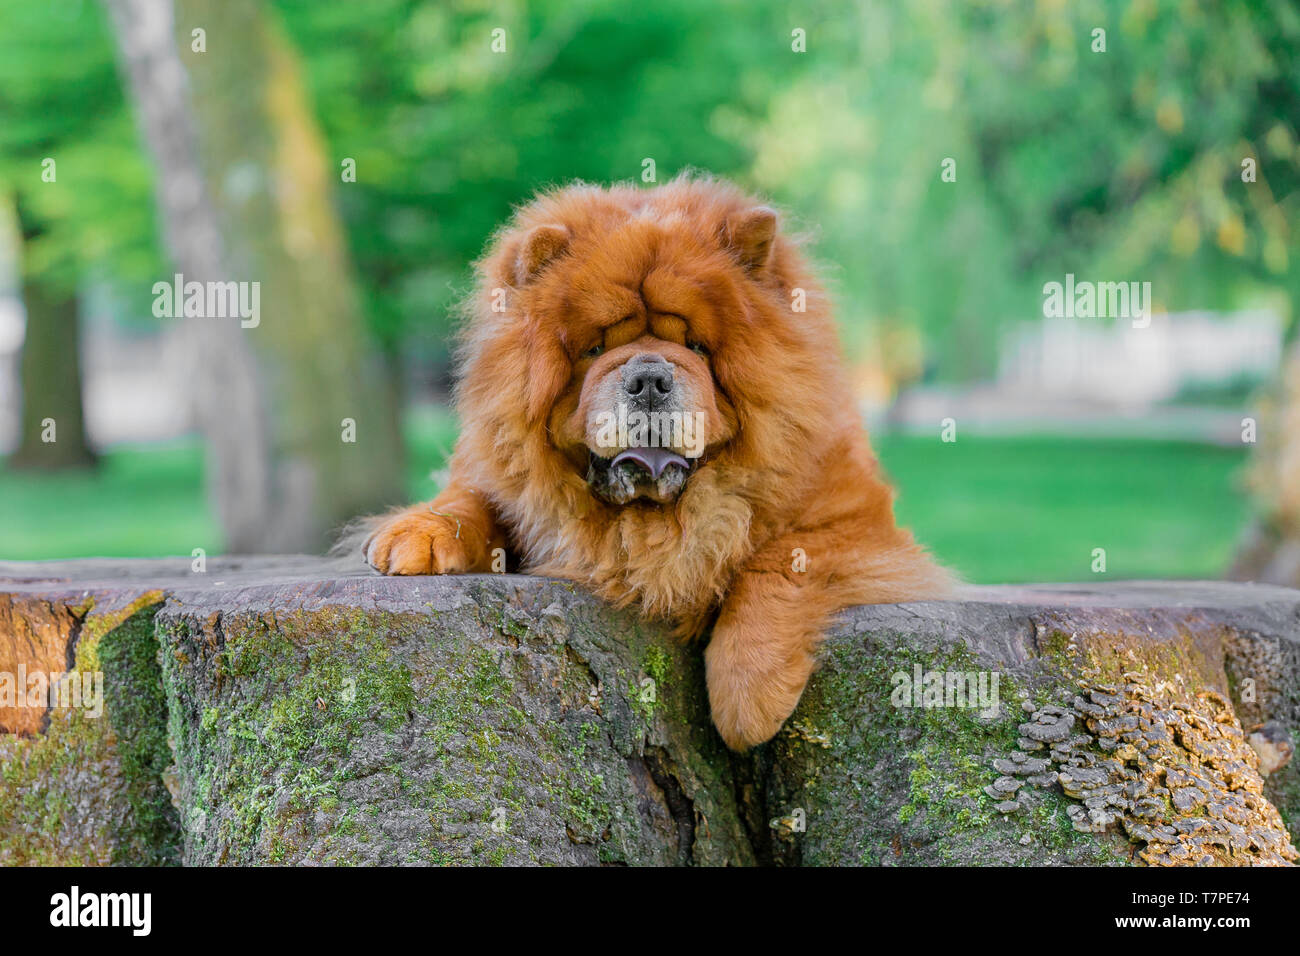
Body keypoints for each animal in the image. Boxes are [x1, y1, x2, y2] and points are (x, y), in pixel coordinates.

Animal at [361, 175, 951, 749]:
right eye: (595, 349)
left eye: (697, 346)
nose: (648, 378)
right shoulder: (503, 484)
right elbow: (470, 500)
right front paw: (418, 534)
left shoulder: (857, 520)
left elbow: (780, 561)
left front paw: (748, 701)